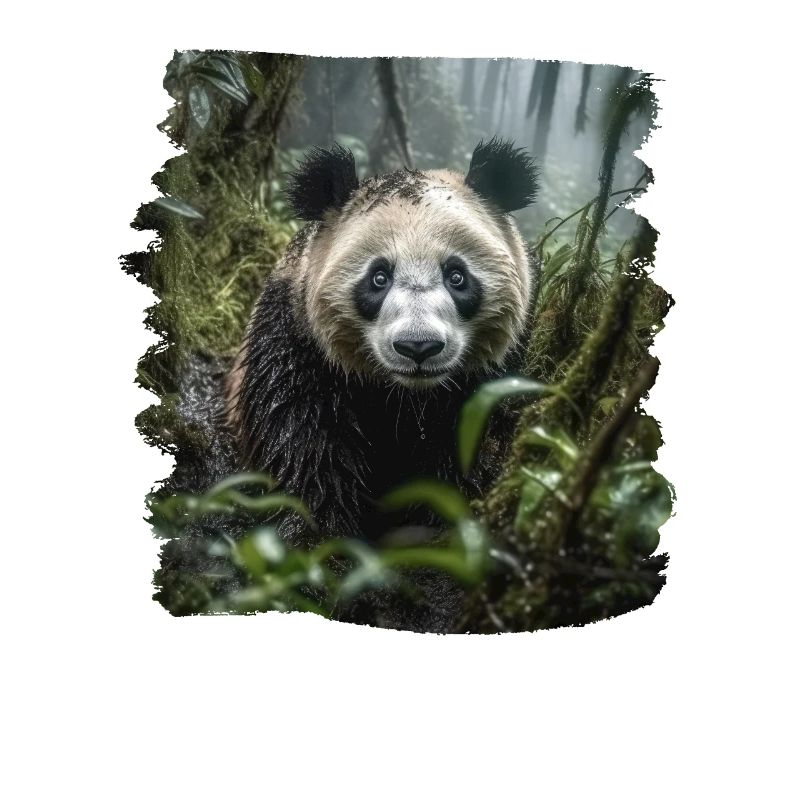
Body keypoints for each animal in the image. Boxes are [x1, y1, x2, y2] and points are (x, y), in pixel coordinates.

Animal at [225, 137, 538, 627]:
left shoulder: (491, 374)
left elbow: (462, 451)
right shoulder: (298, 347)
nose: (418, 347)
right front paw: (322, 552)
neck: (404, 395)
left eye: (457, 275)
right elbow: (305, 448)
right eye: (378, 277)